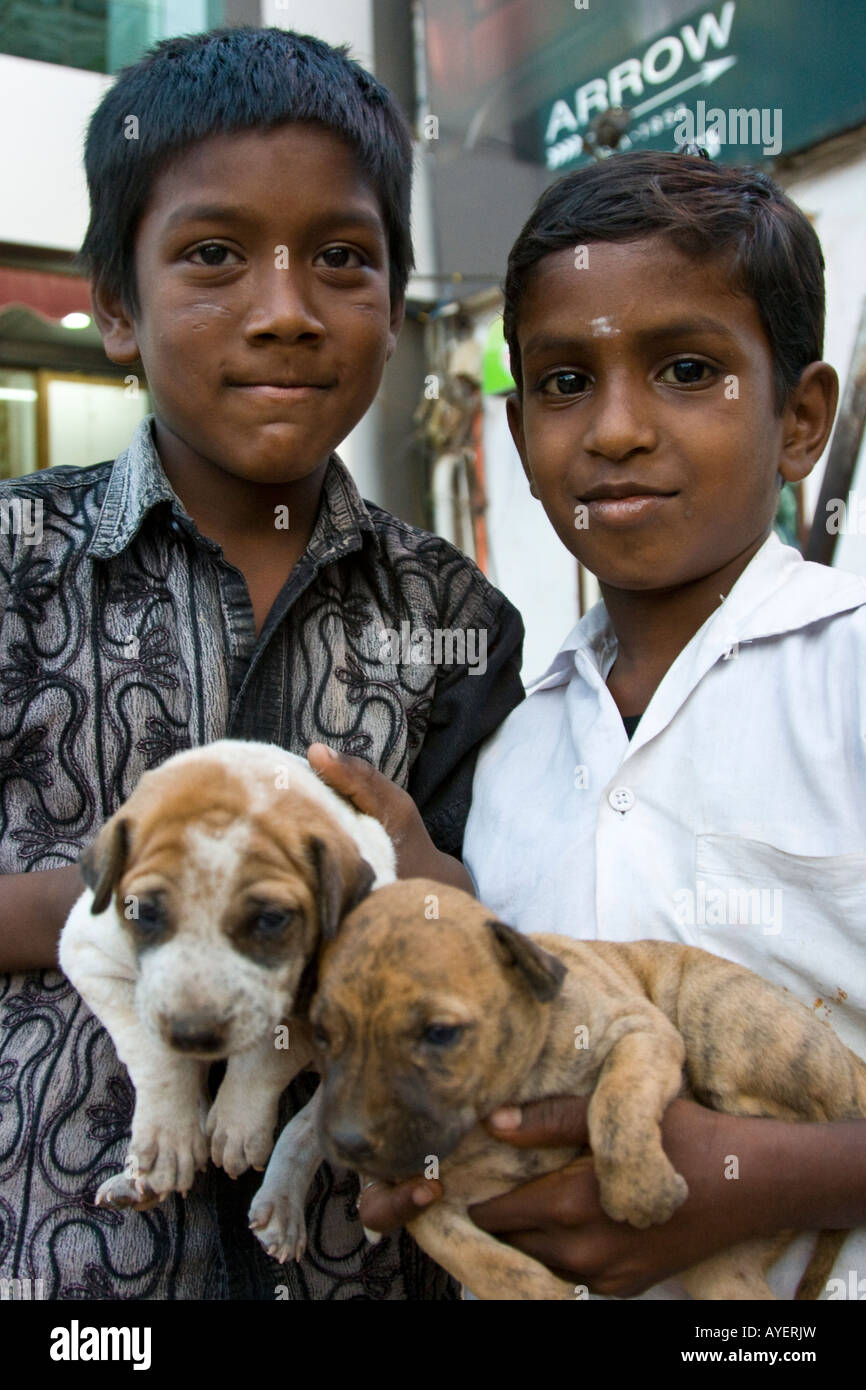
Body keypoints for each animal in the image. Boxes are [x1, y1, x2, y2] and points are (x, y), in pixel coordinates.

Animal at [55, 745, 391, 1212]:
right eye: (145, 912)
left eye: (271, 920)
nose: (193, 1035)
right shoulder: (92, 957)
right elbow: (156, 1055)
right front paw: (169, 1137)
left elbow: (267, 1054)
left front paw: (238, 1124)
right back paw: (139, 1180)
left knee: (308, 1129)